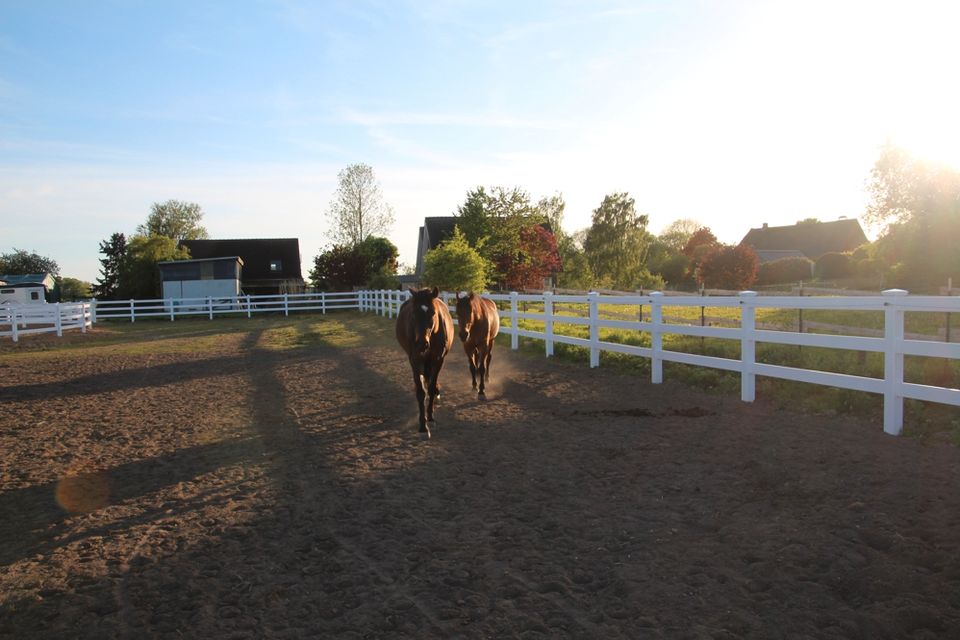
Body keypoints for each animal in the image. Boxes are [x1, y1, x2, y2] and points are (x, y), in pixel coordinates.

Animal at [394, 288, 454, 438]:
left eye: (433, 313)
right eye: (414, 314)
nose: (421, 344)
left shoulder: (438, 360)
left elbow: (431, 388)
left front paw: (430, 417)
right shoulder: (415, 360)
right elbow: (421, 392)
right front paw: (423, 425)